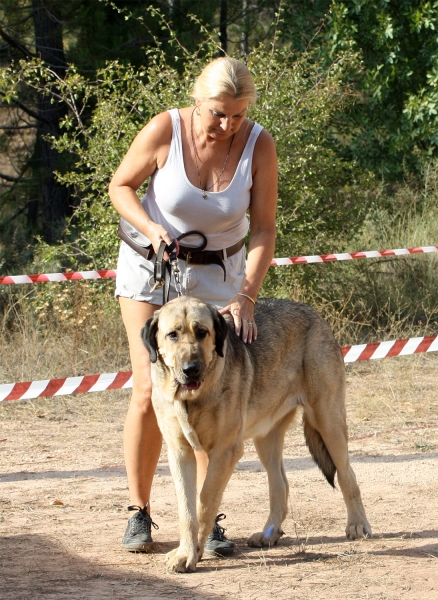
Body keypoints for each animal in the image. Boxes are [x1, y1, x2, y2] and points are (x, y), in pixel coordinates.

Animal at [142, 296, 372, 572]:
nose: (191, 369)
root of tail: (315, 315)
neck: (192, 398)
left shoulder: (225, 451)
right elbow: (187, 510)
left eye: (202, 332)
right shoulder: (180, 453)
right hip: (267, 439)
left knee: (348, 475)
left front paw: (194, 552)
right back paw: (268, 534)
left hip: (328, 421)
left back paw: (357, 525)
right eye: (172, 335)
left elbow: (205, 502)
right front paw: (186, 552)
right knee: (280, 484)